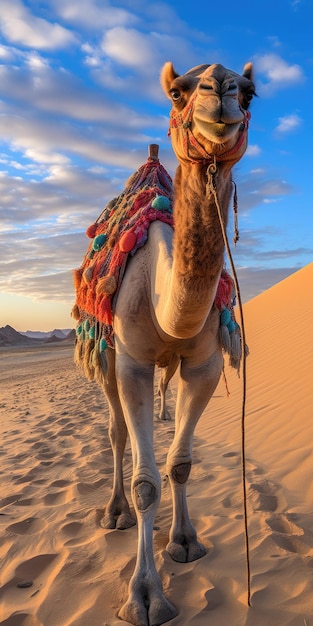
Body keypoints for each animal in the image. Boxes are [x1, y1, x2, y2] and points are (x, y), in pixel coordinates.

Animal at [73, 59, 254, 624]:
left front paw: (186, 543)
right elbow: (147, 481)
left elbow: (179, 464)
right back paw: (114, 514)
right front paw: (146, 595)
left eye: (250, 92)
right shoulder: (132, 362)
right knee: (116, 432)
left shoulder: (205, 367)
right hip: (107, 354)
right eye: (178, 92)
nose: (220, 90)